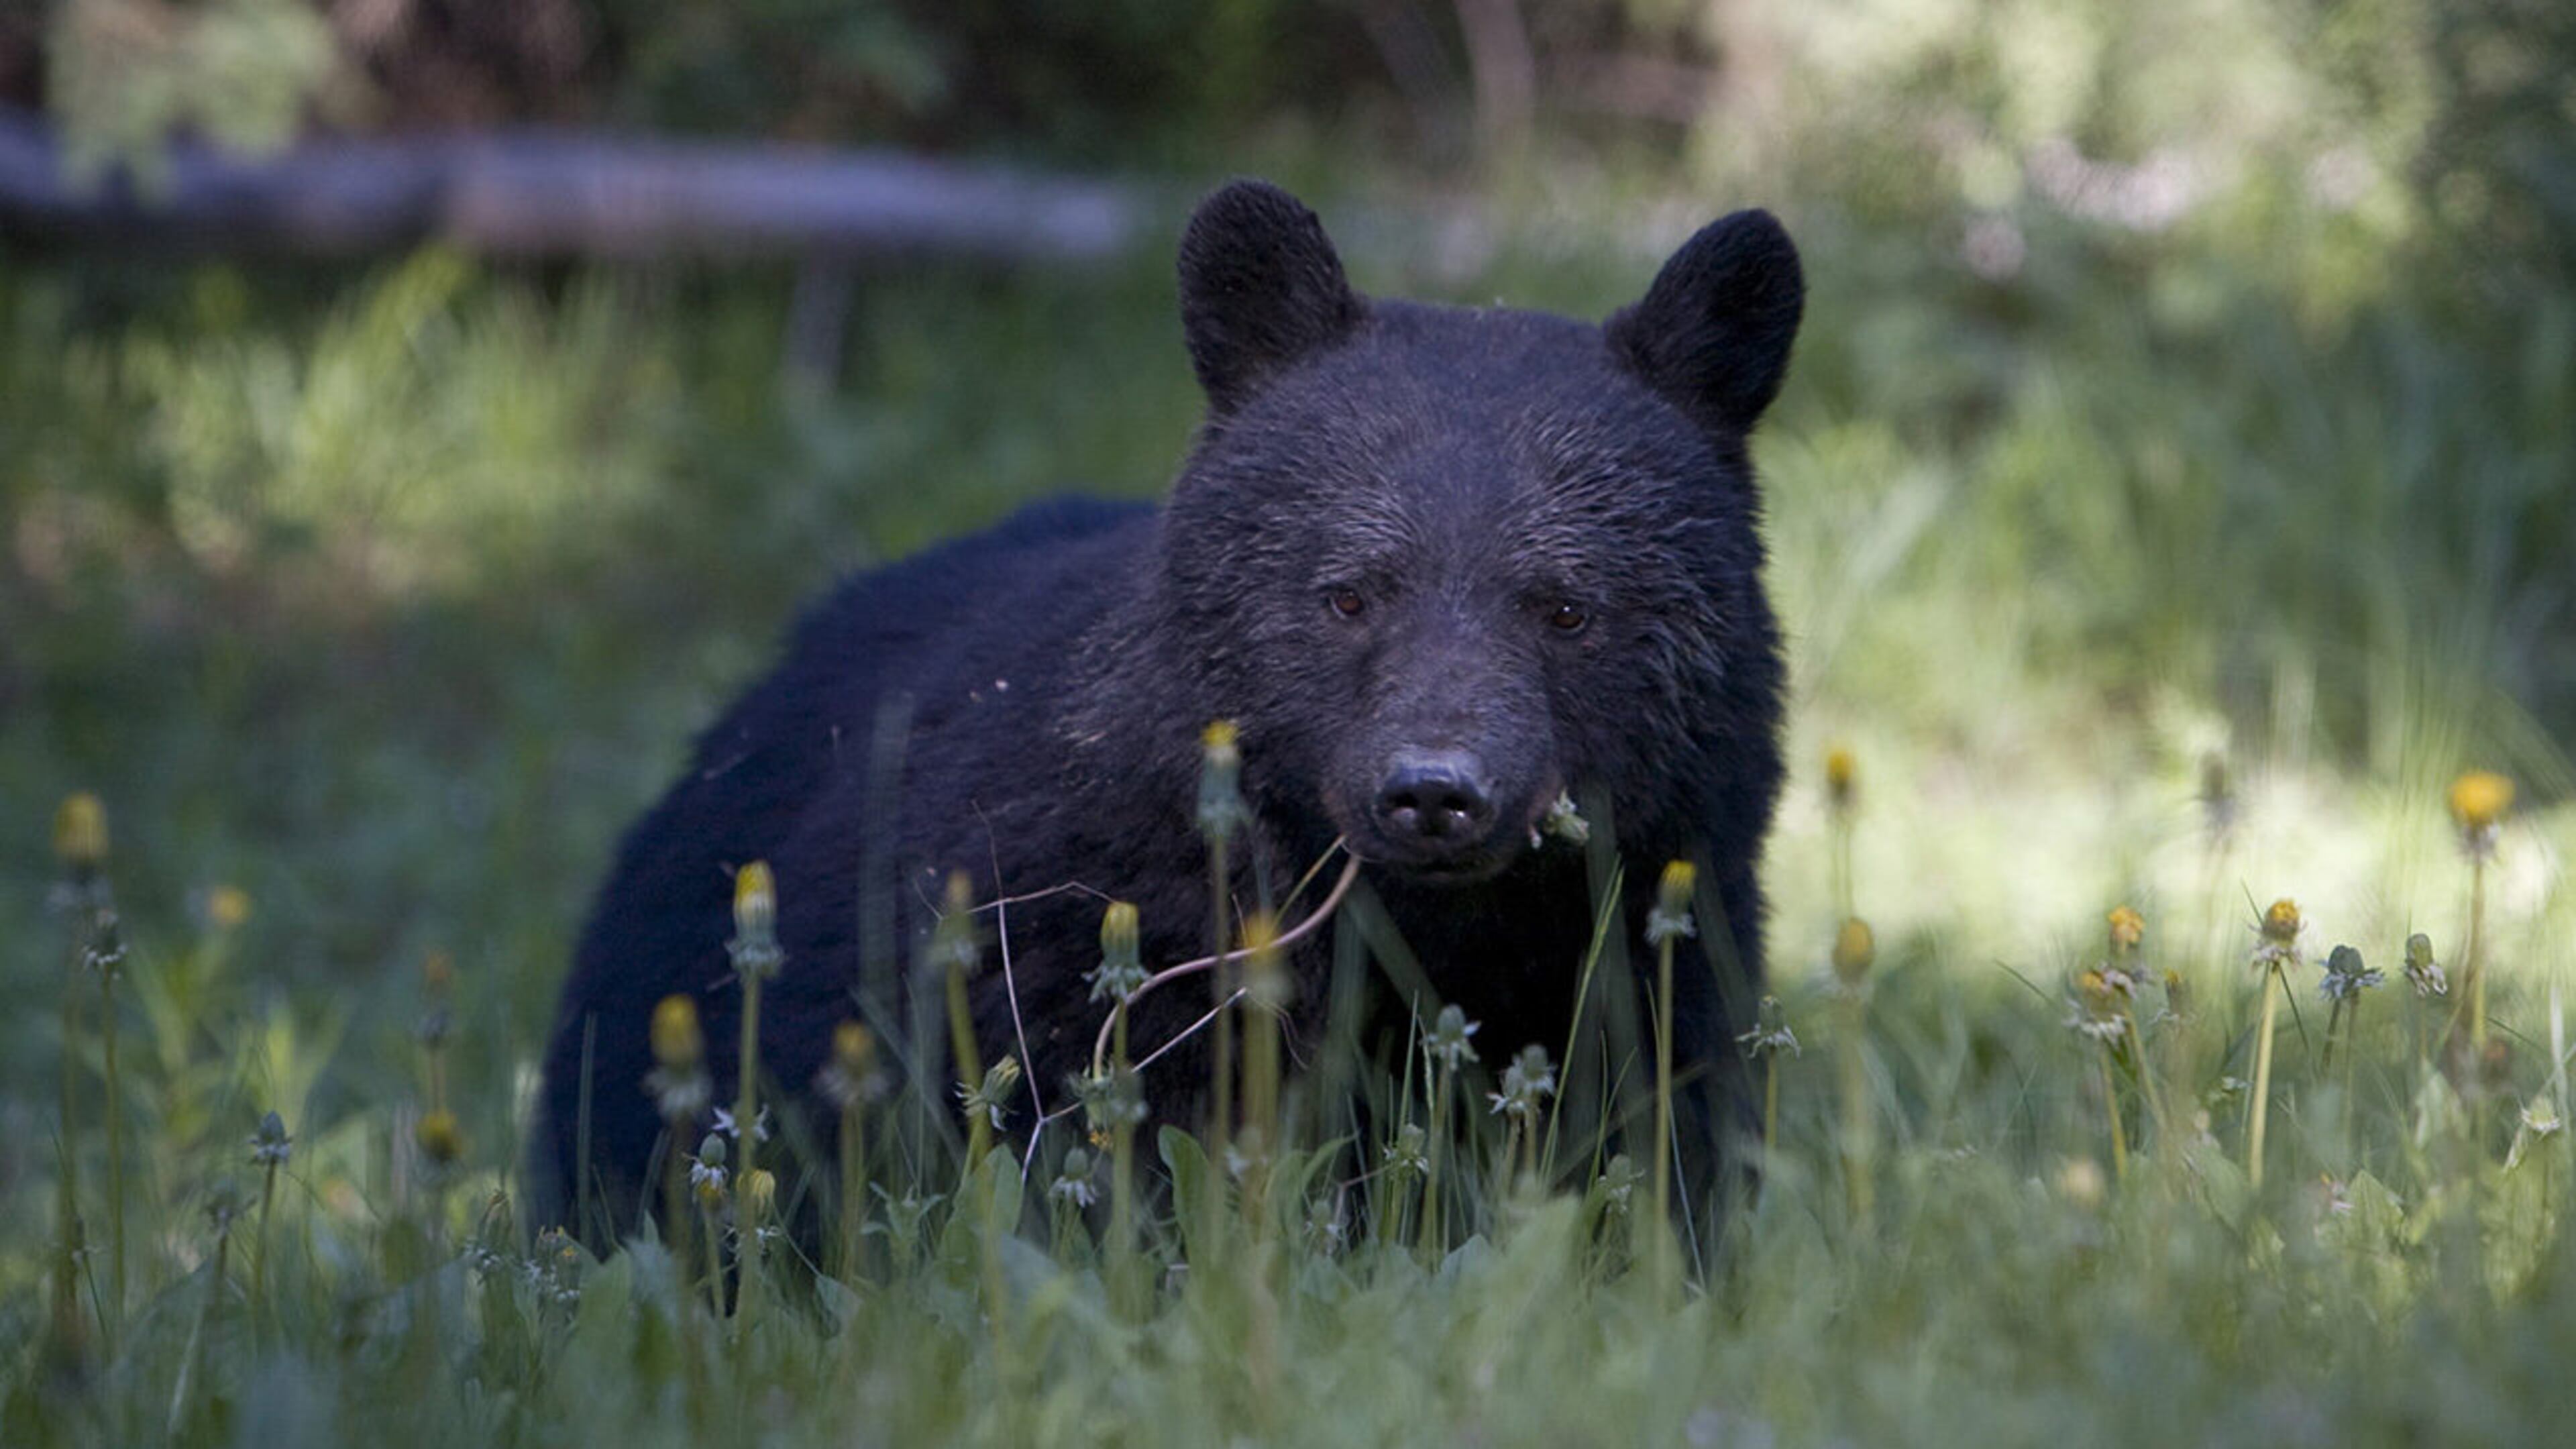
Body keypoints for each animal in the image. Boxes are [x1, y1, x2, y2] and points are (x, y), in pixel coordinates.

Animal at [529, 179, 1801, 1246]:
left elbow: (1653, 1135)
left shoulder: (1656, 948)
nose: (1436, 793)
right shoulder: (1076, 957)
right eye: (1349, 593)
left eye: (1567, 608)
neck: (1429, 928)